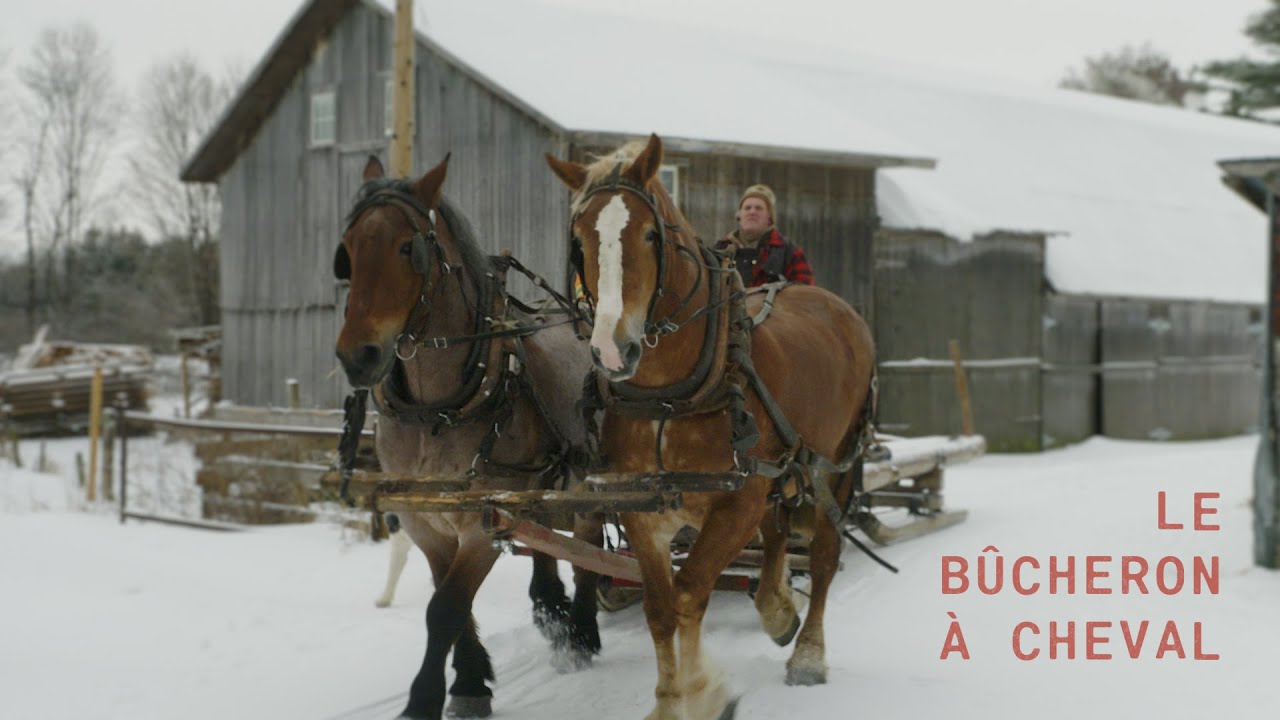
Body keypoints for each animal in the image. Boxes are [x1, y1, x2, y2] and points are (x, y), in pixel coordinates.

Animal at [334, 154, 602, 720]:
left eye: (407, 247)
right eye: (346, 251)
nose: (357, 356)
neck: (437, 410)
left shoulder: (481, 522)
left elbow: (446, 607)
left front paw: (427, 697)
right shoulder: (422, 517)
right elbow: (446, 596)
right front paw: (471, 677)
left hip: (592, 482)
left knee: (589, 543)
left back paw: (582, 633)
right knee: (548, 542)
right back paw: (552, 609)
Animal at [546, 134, 876, 720]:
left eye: (650, 234)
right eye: (579, 239)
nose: (612, 349)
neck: (670, 398)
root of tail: (835, 305)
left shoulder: (735, 502)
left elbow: (690, 593)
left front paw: (705, 693)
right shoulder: (643, 510)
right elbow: (660, 607)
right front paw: (668, 700)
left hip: (832, 465)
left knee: (823, 553)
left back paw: (808, 655)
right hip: (778, 471)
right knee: (776, 532)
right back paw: (776, 608)